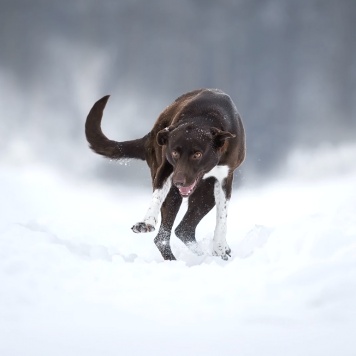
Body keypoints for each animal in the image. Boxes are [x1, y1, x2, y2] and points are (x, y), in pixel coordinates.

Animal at [86, 88, 246, 262]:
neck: (204, 117)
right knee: (165, 236)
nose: (178, 182)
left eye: (197, 154)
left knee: (184, 229)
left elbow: (222, 216)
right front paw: (147, 222)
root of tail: (151, 135)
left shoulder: (225, 178)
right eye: (175, 152)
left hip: (206, 195)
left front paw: (219, 247)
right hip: (175, 194)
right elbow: (157, 195)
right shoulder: (167, 168)